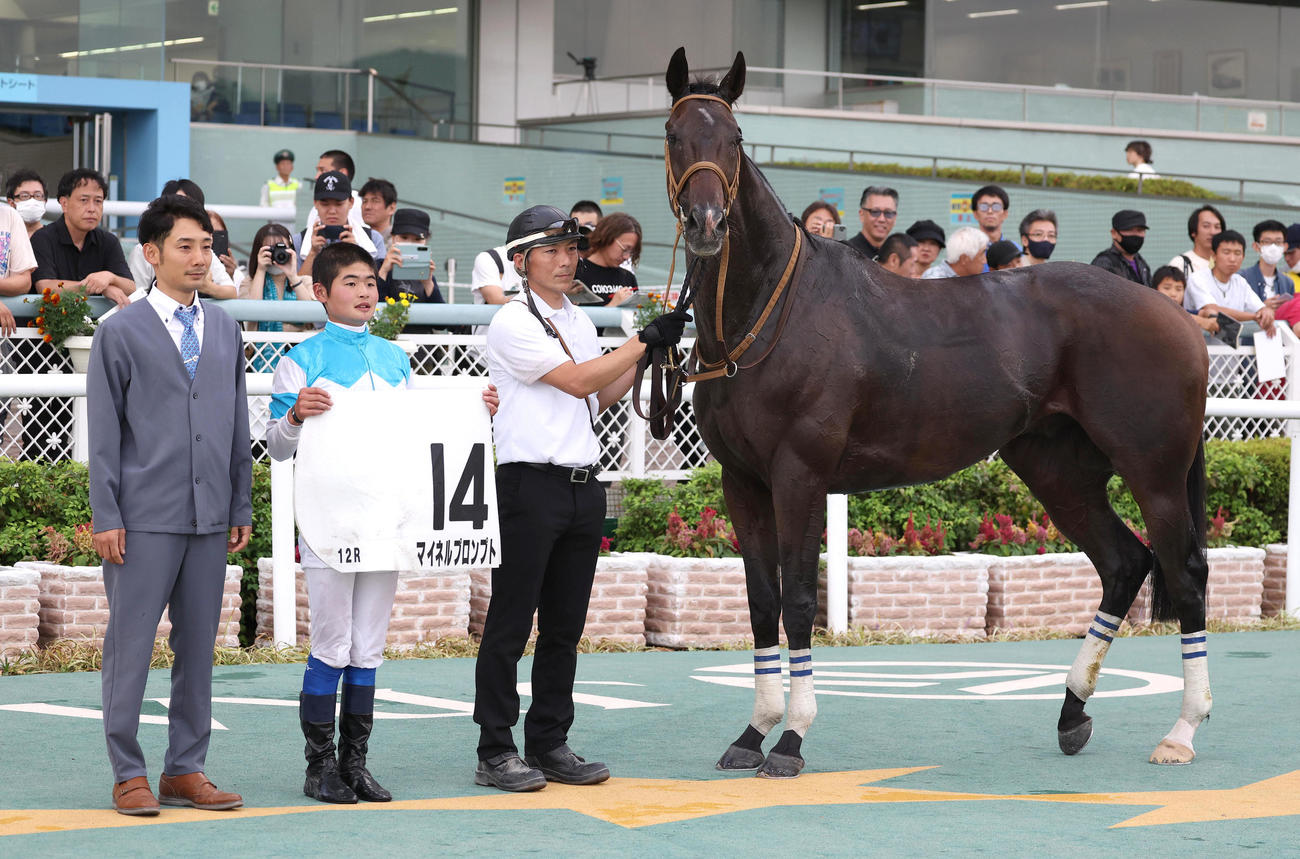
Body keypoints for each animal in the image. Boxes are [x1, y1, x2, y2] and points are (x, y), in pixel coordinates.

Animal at [660, 47, 1212, 779]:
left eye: (734, 138)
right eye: (674, 136)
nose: (706, 223)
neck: (772, 312)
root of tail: (1176, 316)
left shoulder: (799, 474)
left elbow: (800, 598)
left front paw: (790, 739)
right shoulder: (742, 481)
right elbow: (760, 600)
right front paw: (753, 731)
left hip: (1155, 471)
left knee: (1184, 572)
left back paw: (1182, 730)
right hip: (1057, 468)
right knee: (1125, 562)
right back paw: (1072, 712)